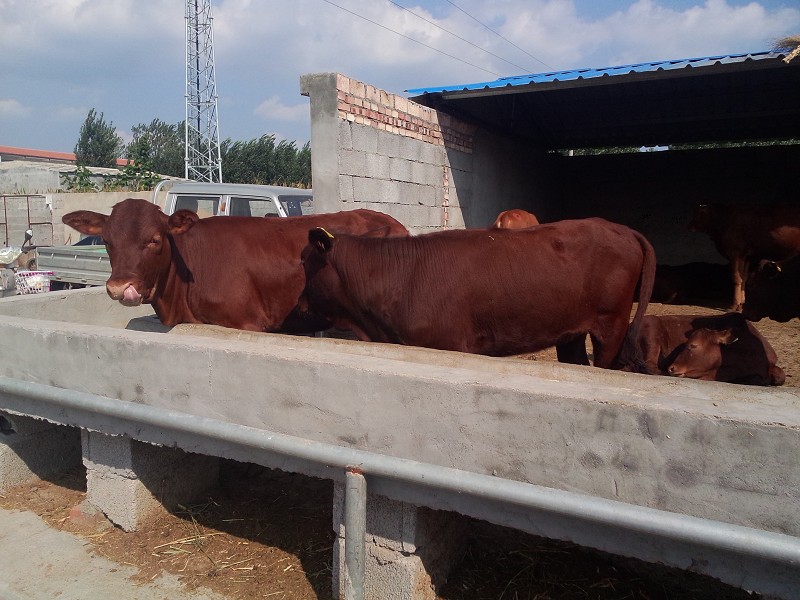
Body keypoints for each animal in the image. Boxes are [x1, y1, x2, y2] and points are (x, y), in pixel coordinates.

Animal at [300, 218, 656, 370]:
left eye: (304, 261)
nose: (299, 304)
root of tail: (622, 228)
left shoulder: (450, 344)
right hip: (570, 331)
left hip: (611, 324)